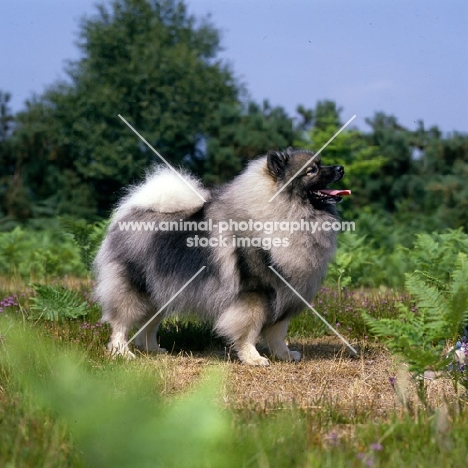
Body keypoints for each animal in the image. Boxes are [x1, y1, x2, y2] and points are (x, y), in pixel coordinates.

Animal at [94, 147, 348, 366]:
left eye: (321, 163)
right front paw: (253, 358)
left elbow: (278, 332)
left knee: (148, 325)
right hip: (135, 289)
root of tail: (133, 212)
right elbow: (249, 330)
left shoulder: (284, 293)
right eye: (312, 170)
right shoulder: (254, 294)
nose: (341, 168)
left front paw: (284, 355)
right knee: (121, 322)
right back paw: (121, 352)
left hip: (161, 292)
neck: (287, 213)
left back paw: (153, 349)